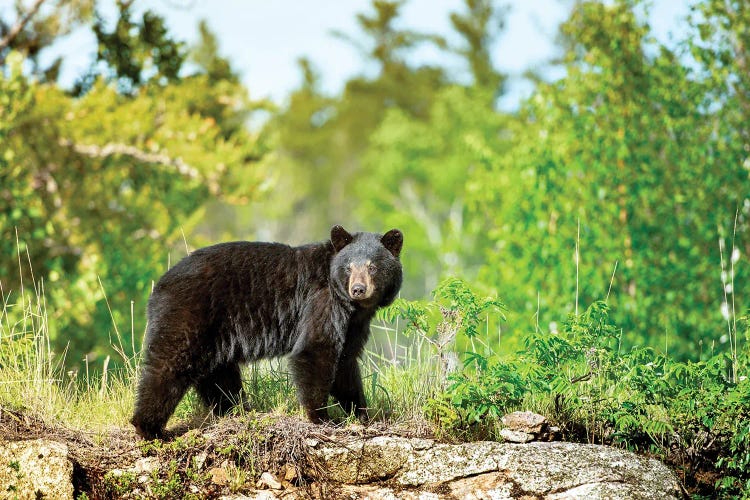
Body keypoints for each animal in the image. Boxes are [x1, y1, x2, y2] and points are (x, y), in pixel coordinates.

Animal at [132, 225, 402, 440]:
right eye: (349, 267)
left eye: (373, 267)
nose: (358, 289)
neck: (351, 306)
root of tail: (159, 286)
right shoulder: (322, 300)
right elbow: (316, 349)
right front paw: (321, 417)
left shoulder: (354, 324)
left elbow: (345, 362)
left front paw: (362, 413)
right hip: (188, 314)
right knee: (169, 365)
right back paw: (149, 427)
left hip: (214, 334)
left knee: (218, 375)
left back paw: (236, 409)